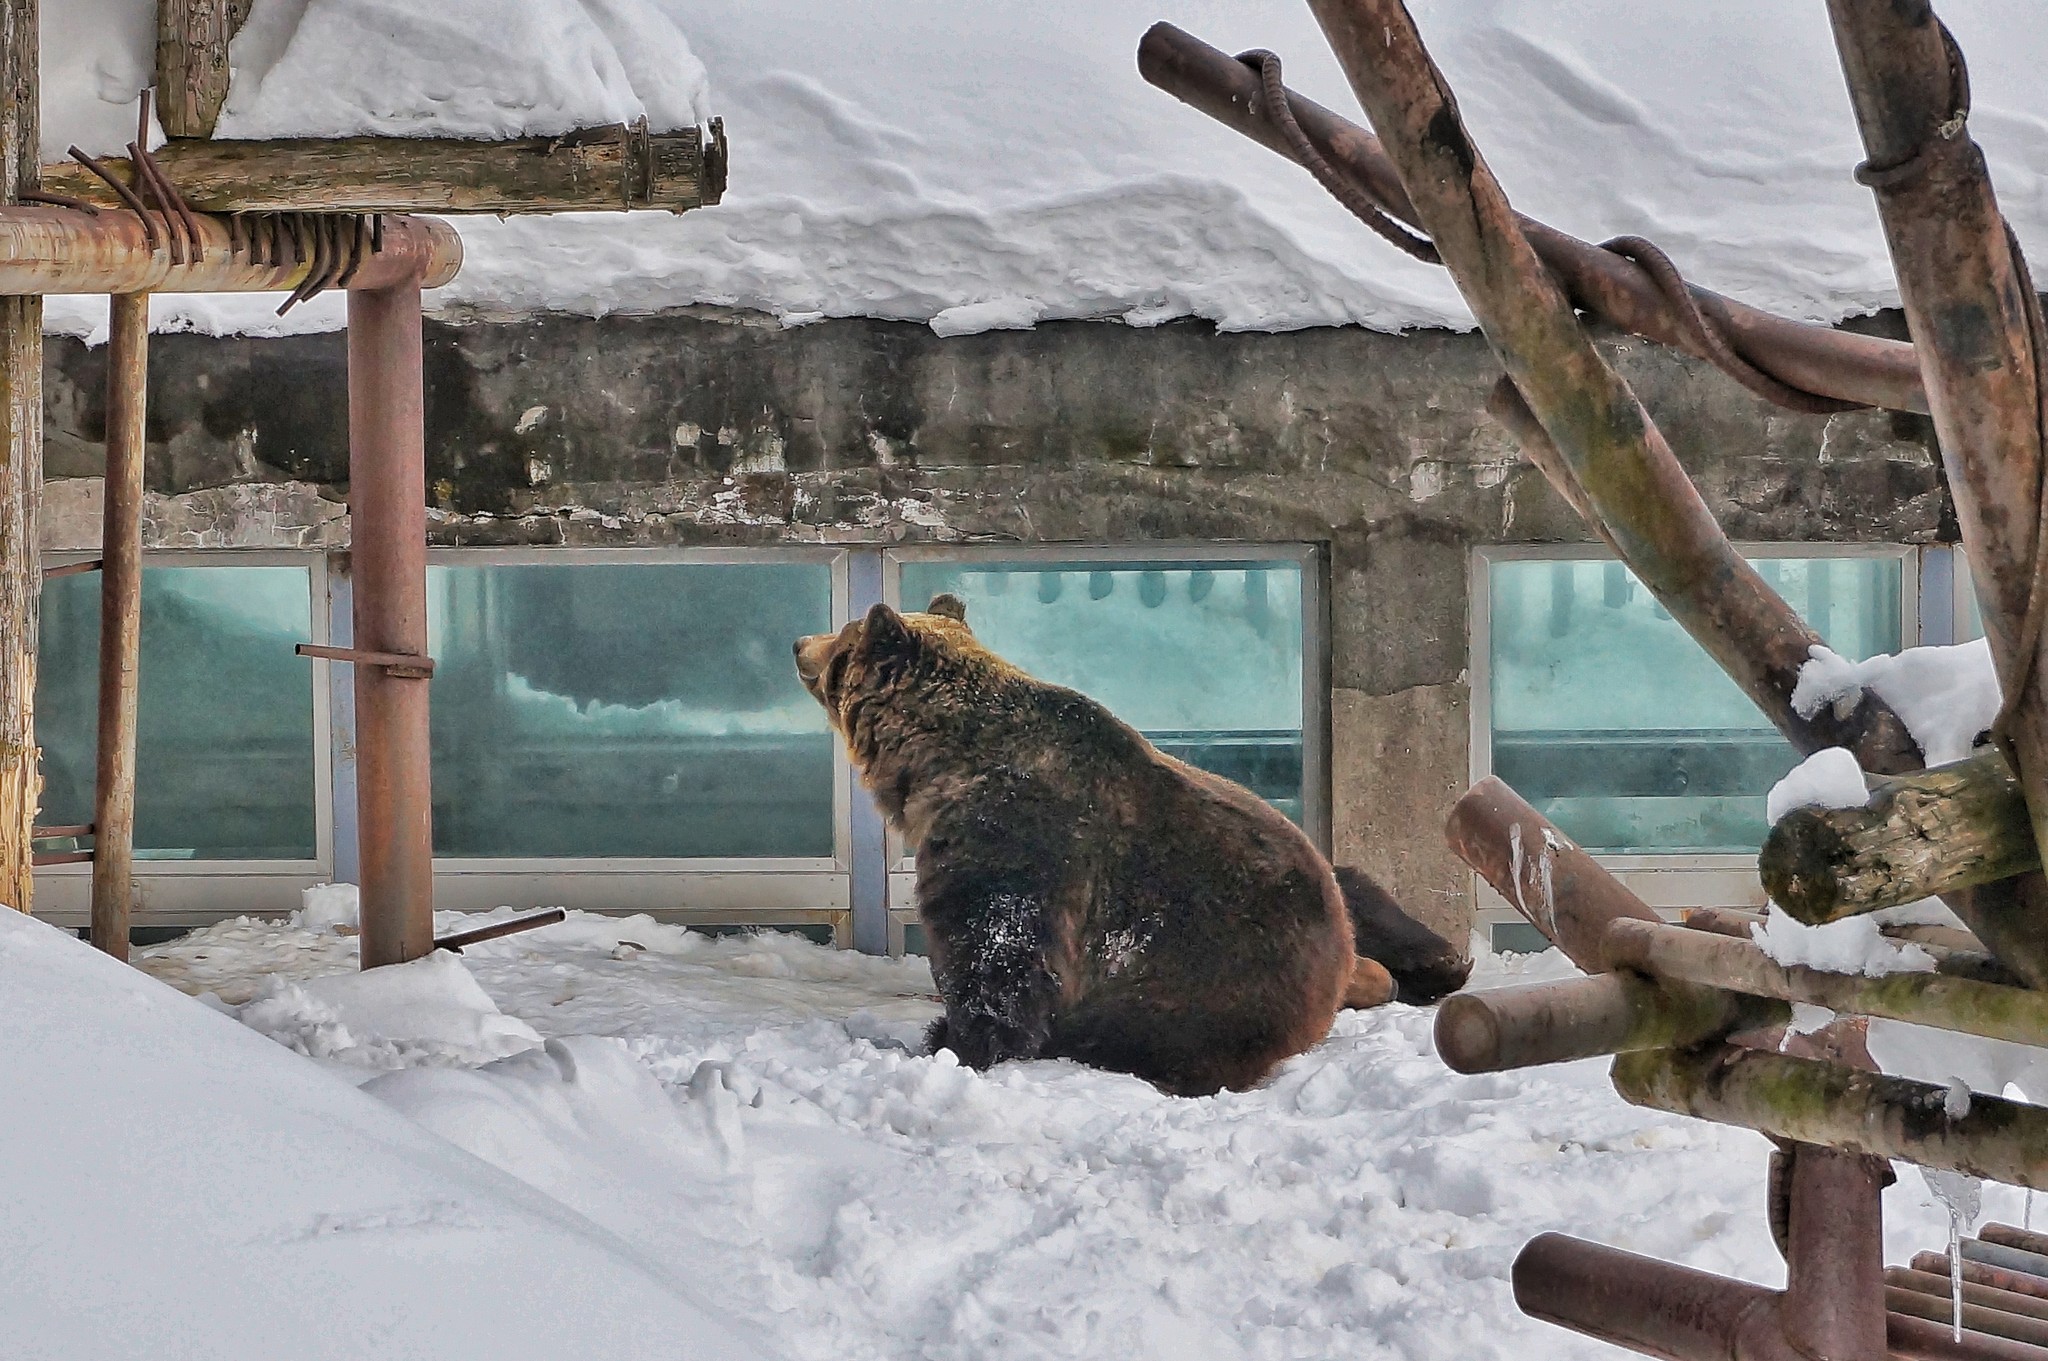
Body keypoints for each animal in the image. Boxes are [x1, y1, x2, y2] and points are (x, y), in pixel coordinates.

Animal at [794, 593, 1359, 1096]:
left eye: (843, 636)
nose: (800, 642)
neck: (937, 764)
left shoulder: (1016, 836)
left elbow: (997, 952)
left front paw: (956, 1043)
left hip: (1206, 981)